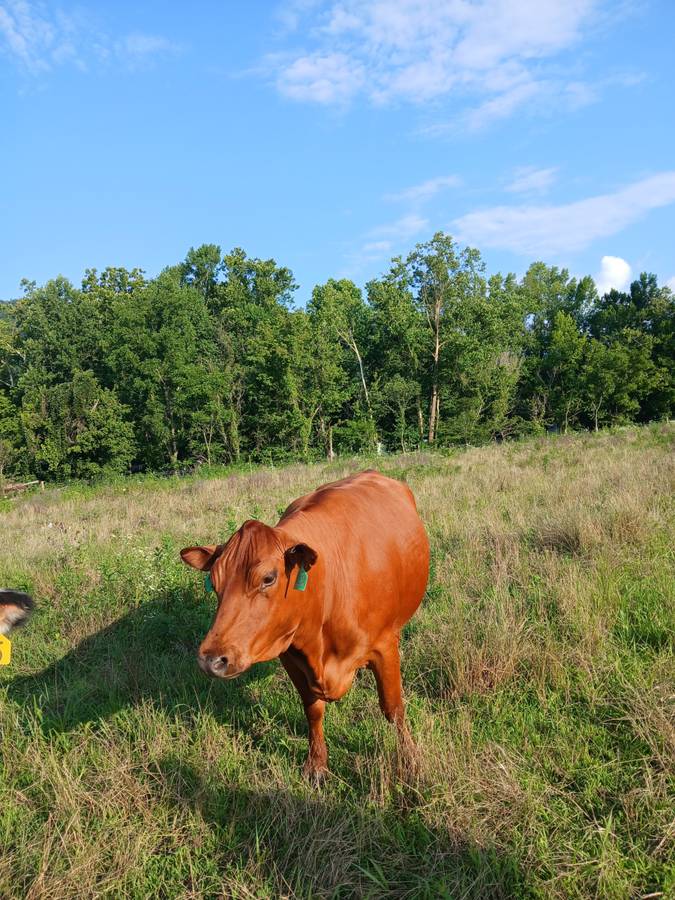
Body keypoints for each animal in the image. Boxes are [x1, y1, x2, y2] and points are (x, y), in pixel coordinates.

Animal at [180, 470, 429, 778]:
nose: (211, 660)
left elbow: (393, 708)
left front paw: (410, 760)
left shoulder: (384, 647)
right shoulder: (290, 656)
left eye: (268, 578)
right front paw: (317, 765)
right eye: (213, 583)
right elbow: (312, 710)